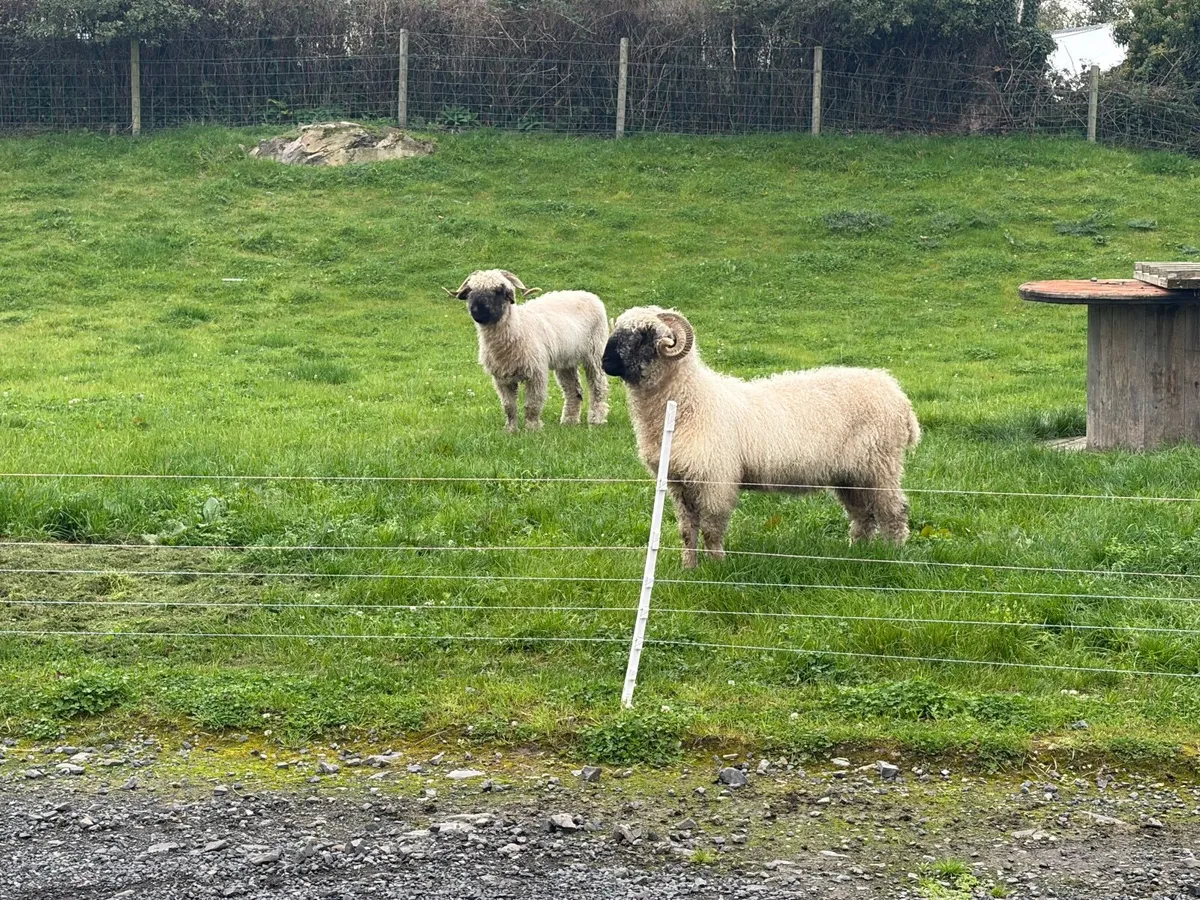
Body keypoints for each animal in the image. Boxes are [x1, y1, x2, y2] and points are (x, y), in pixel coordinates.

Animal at [445, 269, 610, 432]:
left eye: (499, 291)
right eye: (471, 291)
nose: (477, 310)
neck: (518, 327)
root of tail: (589, 295)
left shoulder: (536, 373)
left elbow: (532, 404)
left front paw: (532, 429)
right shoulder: (501, 377)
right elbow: (509, 406)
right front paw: (510, 430)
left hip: (595, 352)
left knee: (598, 386)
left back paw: (596, 419)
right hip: (566, 360)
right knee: (573, 390)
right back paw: (569, 421)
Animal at [601, 307, 921, 568]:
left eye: (645, 334)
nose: (606, 363)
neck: (691, 400)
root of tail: (900, 397)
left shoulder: (716, 479)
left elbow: (712, 528)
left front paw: (717, 566)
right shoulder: (679, 482)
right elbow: (687, 530)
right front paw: (689, 568)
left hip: (880, 465)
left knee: (893, 511)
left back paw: (894, 554)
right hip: (850, 474)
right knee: (863, 516)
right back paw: (856, 553)